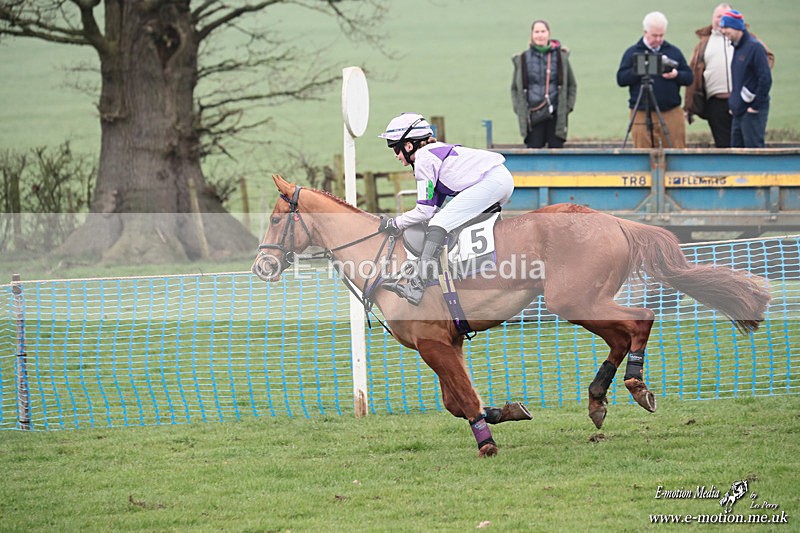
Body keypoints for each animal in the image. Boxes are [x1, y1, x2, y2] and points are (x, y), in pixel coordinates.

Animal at [252, 174, 771, 457]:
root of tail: (617, 221)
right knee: (620, 337)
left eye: (276, 219)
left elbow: (461, 399)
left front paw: (486, 442)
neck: (385, 258)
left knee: (638, 320)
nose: (262, 267)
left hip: (572, 299)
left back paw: (636, 385)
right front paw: (504, 413)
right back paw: (598, 399)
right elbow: (457, 400)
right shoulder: (447, 342)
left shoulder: (433, 344)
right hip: (580, 302)